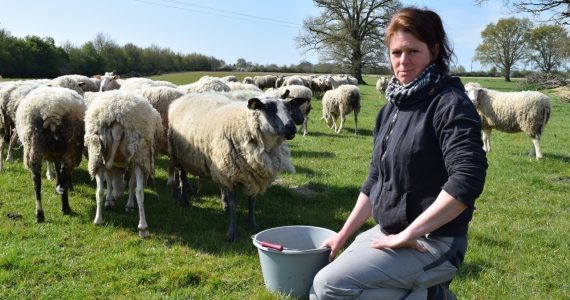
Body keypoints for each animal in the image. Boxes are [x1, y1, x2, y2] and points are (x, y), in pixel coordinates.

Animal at [15, 86, 86, 223]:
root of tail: (51, 110)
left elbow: (57, 169)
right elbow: (59, 171)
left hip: (33, 144)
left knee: (36, 182)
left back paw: (39, 214)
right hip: (70, 147)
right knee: (64, 174)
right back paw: (65, 207)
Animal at [84, 90, 164, 238]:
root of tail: (115, 113)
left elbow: (109, 183)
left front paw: (110, 201)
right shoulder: (131, 162)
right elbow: (131, 184)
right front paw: (128, 205)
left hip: (97, 155)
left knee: (99, 190)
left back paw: (98, 219)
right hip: (139, 154)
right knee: (139, 191)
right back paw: (143, 227)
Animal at [166, 92, 306, 240]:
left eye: (289, 107)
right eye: (267, 107)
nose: (291, 127)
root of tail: (181, 98)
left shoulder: (252, 175)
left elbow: (252, 201)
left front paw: (252, 224)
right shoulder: (230, 174)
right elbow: (234, 204)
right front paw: (231, 232)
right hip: (178, 155)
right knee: (182, 175)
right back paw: (184, 200)